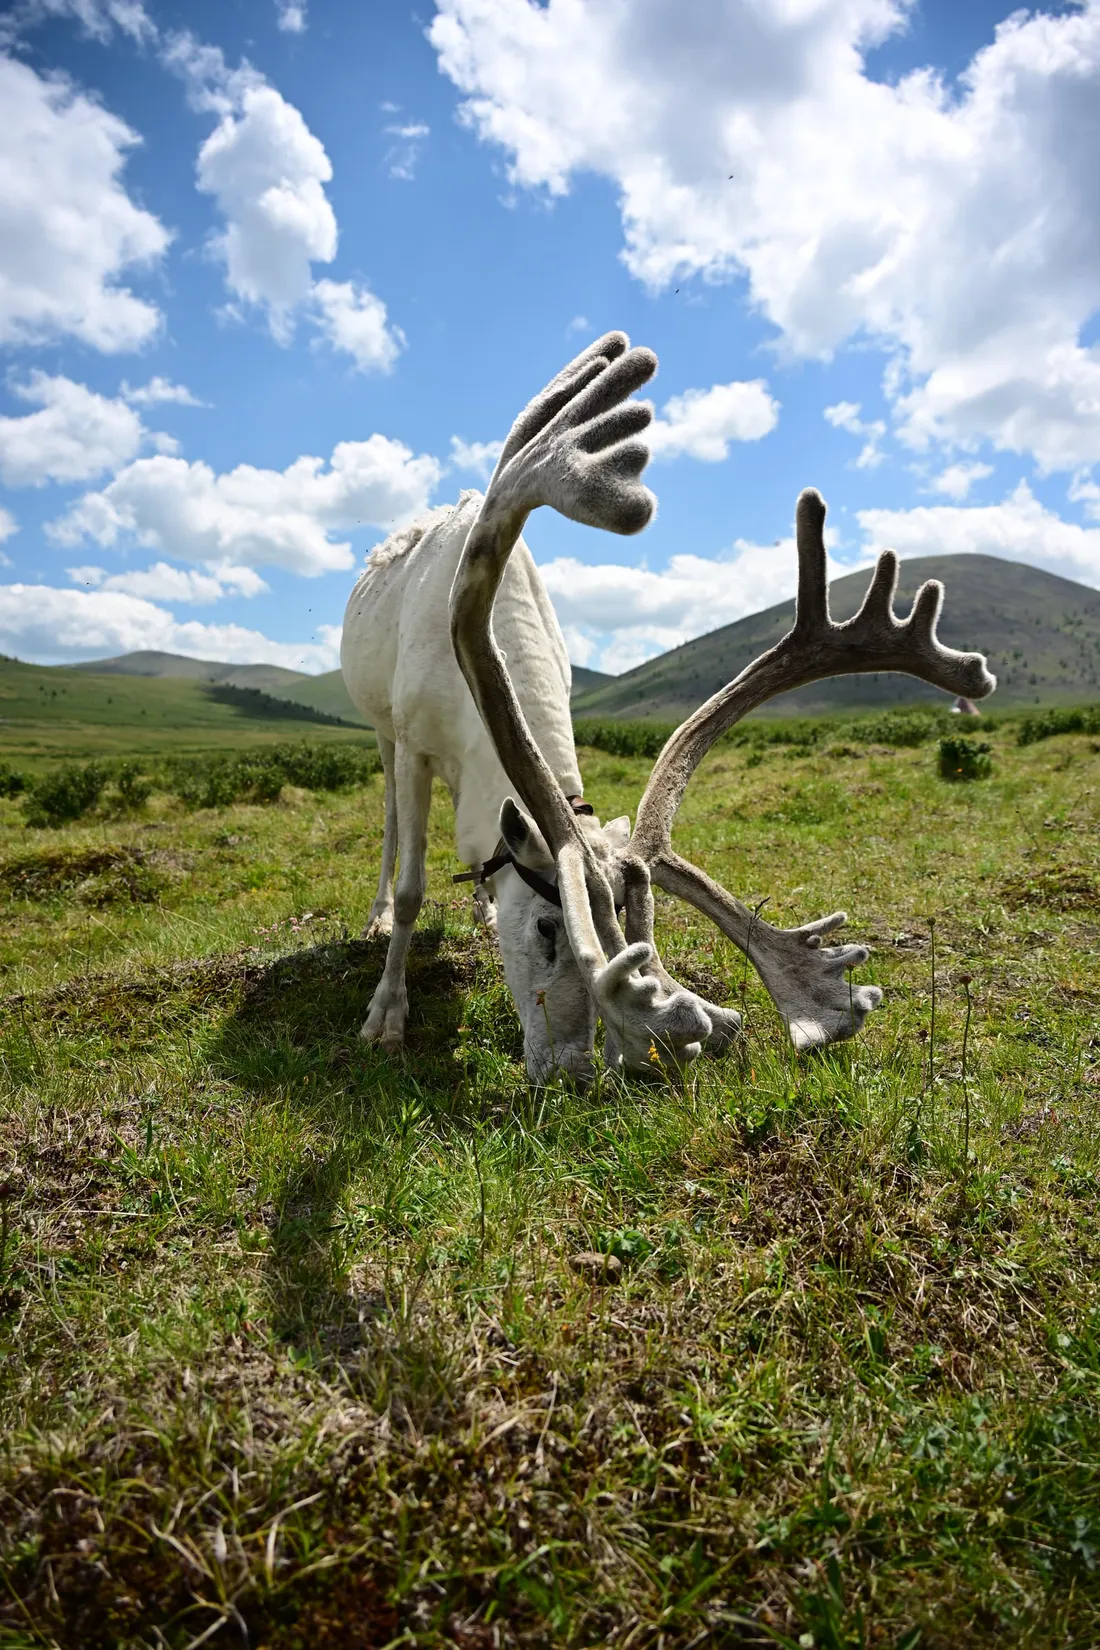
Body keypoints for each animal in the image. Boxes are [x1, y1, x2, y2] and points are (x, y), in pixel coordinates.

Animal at [341, 332, 994, 1085]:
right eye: (546, 928)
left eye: (635, 935)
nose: (570, 1069)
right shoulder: (415, 740)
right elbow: (415, 888)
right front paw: (385, 1016)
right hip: (381, 732)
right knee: (393, 829)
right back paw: (378, 918)